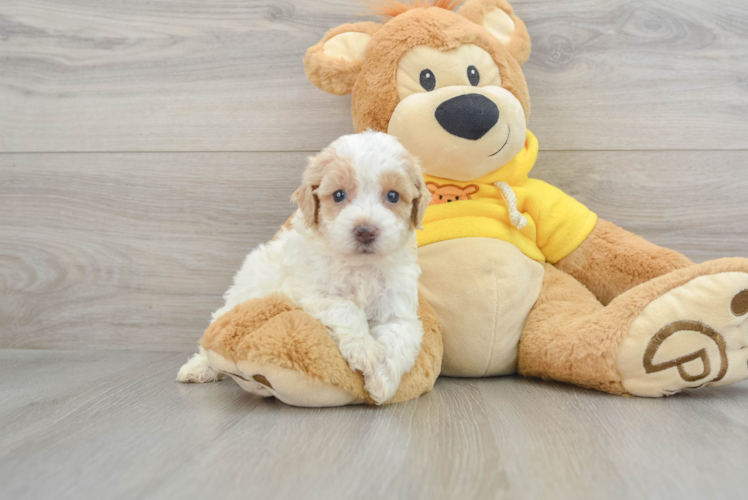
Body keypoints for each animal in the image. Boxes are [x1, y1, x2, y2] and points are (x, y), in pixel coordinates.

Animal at [176, 131, 430, 404]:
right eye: (338, 195)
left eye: (393, 196)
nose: (365, 231)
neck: (360, 266)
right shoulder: (307, 291)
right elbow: (345, 308)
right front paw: (364, 350)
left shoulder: (399, 309)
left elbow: (400, 336)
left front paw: (382, 383)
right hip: (236, 301)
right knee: (210, 341)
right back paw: (199, 368)